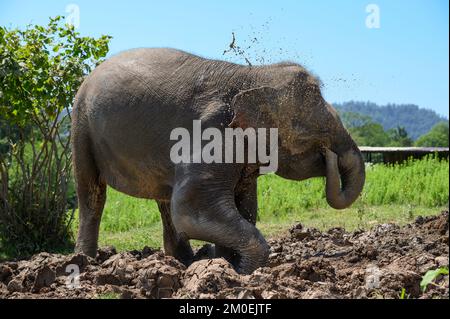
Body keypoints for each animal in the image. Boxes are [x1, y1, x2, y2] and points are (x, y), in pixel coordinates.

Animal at [71, 47, 366, 276]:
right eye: (310, 138)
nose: (330, 156)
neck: (252, 76)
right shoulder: (212, 133)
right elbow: (190, 207)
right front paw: (242, 271)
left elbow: (245, 205)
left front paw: (225, 262)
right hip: (81, 126)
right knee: (92, 193)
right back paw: (85, 261)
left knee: (164, 198)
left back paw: (183, 261)